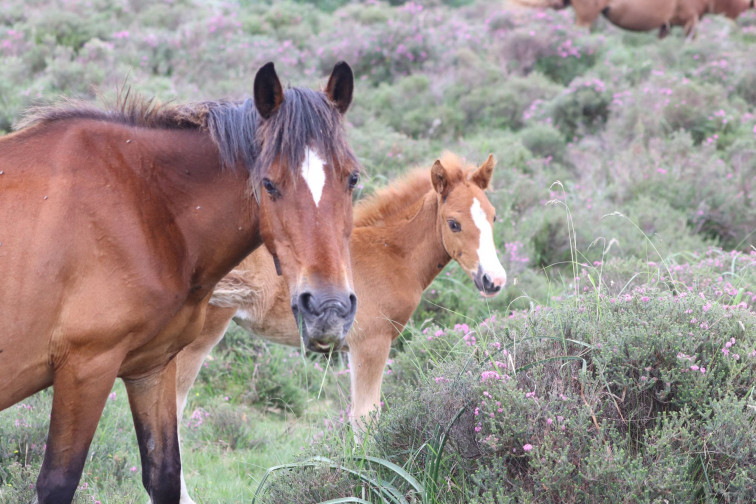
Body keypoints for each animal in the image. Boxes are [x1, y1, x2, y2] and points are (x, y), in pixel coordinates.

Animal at [0, 61, 359, 504]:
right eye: (269, 183)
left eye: (353, 179)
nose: (328, 309)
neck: (142, 203)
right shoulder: (86, 368)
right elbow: (58, 482)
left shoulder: (152, 367)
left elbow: (165, 474)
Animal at [173, 151, 507, 461]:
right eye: (454, 223)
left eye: (492, 217)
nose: (494, 280)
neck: (391, 253)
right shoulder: (371, 343)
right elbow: (366, 419)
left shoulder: (351, 348)